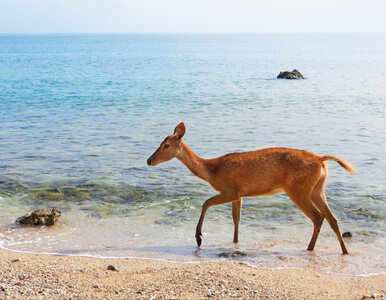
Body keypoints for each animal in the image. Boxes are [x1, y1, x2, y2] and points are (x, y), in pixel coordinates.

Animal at [146, 123, 358, 254]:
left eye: (166, 145)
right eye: (160, 142)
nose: (149, 160)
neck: (212, 171)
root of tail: (321, 160)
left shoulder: (231, 189)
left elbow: (206, 203)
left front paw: (198, 237)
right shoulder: (239, 194)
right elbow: (236, 219)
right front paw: (234, 242)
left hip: (298, 189)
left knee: (318, 217)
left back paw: (310, 248)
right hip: (317, 189)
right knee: (332, 218)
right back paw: (344, 251)